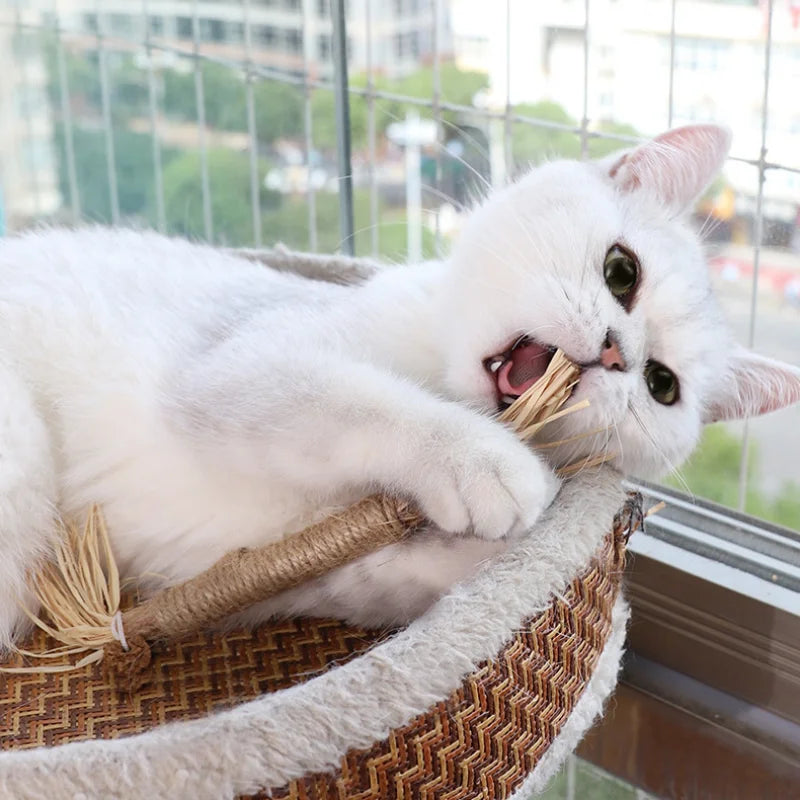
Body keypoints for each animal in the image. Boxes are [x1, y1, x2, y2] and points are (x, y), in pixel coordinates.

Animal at [0, 125, 796, 648]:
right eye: (621, 271)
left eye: (663, 386)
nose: (615, 353)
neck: (432, 364)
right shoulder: (241, 365)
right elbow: (356, 402)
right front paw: (487, 464)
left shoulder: (320, 575)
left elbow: (424, 572)